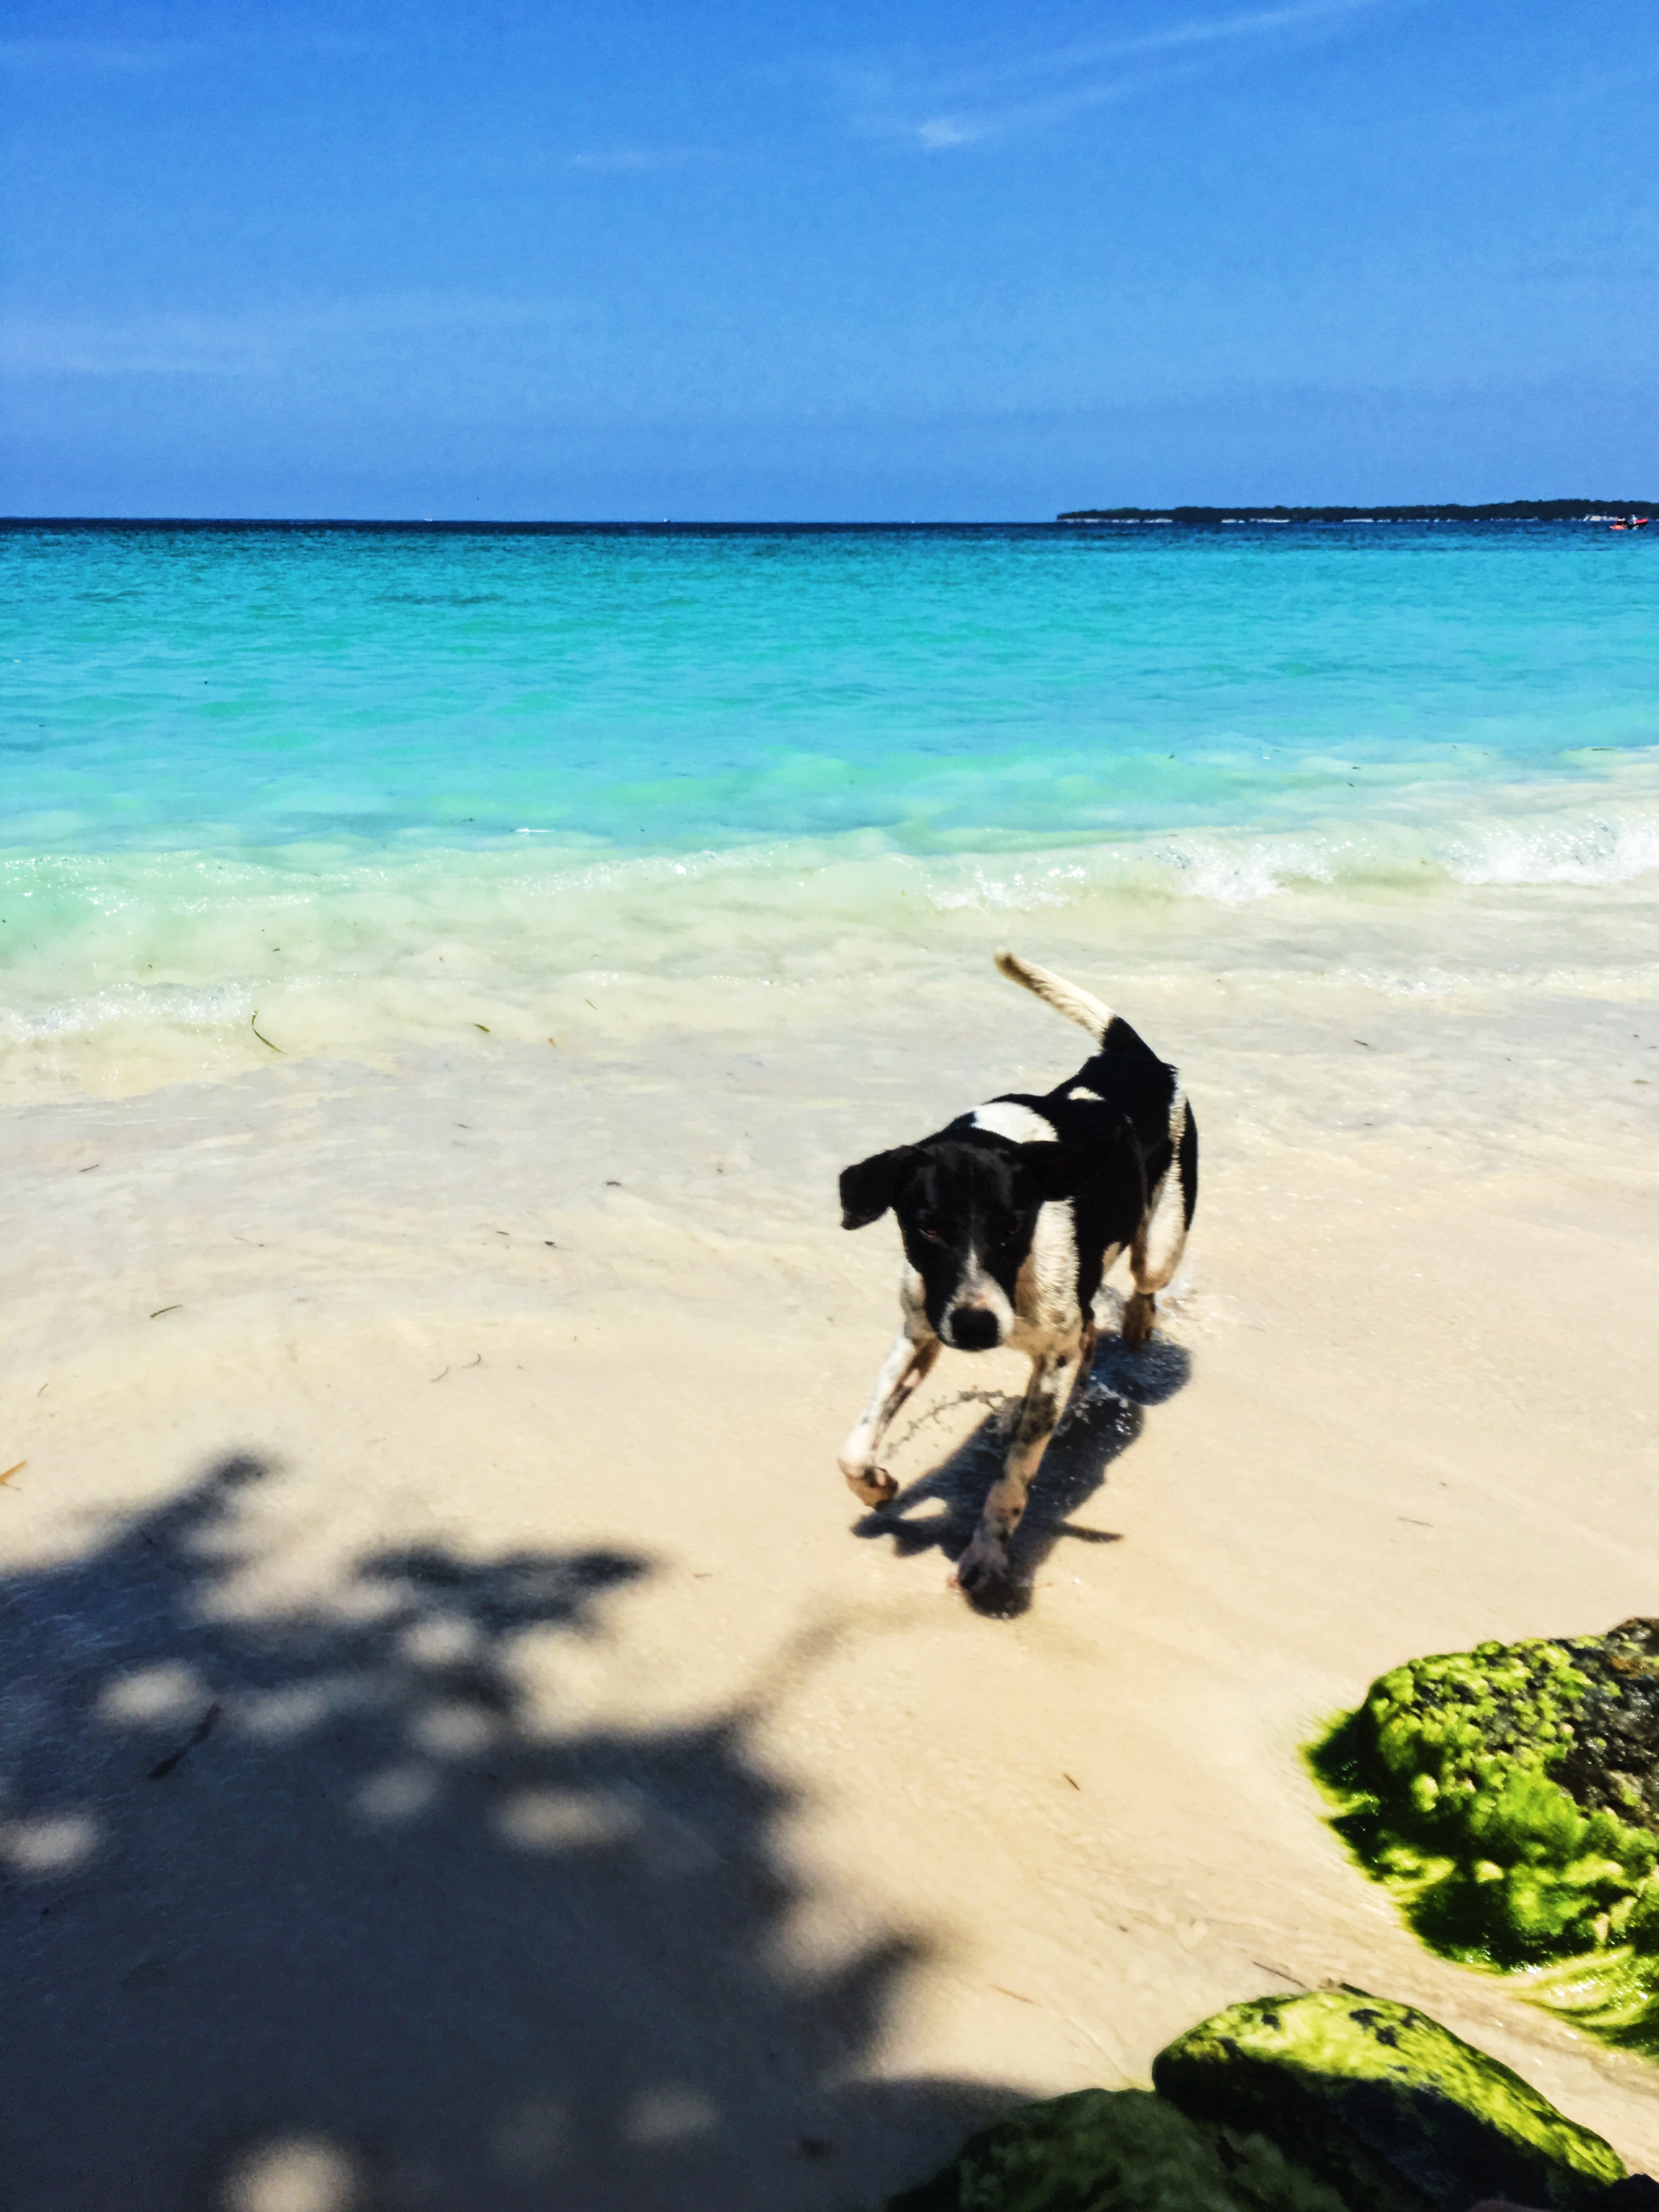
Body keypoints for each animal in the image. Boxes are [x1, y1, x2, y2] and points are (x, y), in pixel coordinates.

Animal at [836, 942, 1203, 1601]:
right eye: (929, 1227)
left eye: (1012, 1226)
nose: (977, 1329)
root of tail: (1137, 1059)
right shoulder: (922, 1331)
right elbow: (855, 1444)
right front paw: (876, 1486)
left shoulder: (1046, 1351)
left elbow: (1012, 1479)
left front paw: (985, 1558)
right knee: (1091, 1329)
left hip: (1162, 1241)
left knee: (1142, 1286)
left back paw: (1138, 1323)